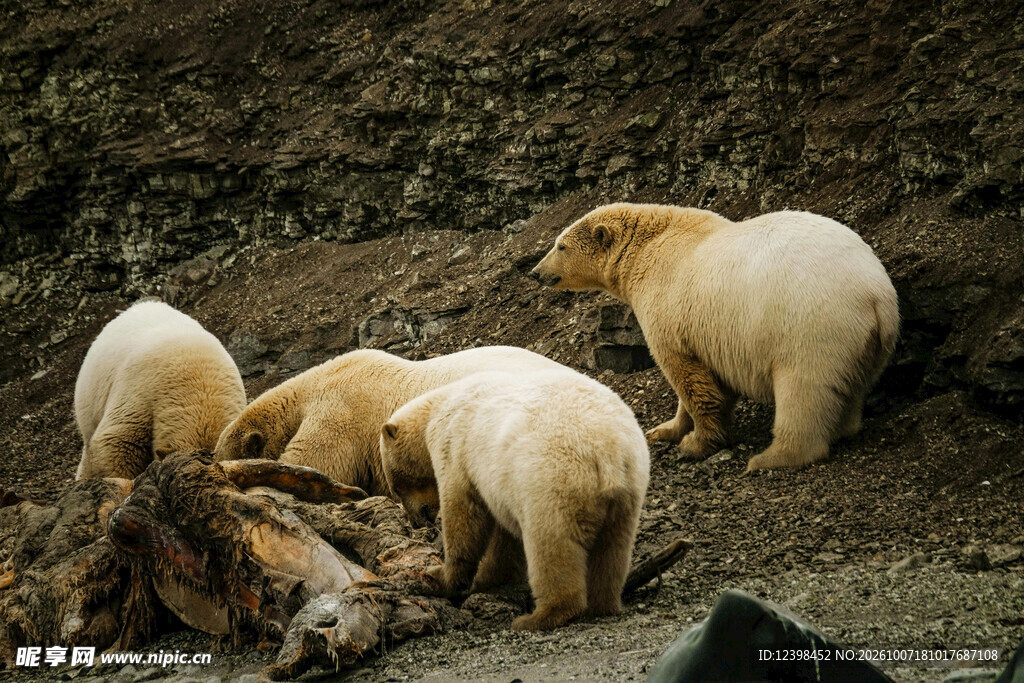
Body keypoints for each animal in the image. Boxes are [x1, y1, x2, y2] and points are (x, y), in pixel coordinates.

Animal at [379, 368, 650, 631]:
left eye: (397, 486)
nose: (415, 521)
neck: (436, 408)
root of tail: (607, 452)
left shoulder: (454, 449)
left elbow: (463, 515)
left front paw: (439, 577)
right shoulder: (499, 485)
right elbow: (504, 538)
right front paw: (488, 579)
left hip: (553, 481)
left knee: (551, 546)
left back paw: (540, 616)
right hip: (629, 489)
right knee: (614, 547)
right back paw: (603, 603)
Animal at [530, 203, 899, 471]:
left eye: (560, 246)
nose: (535, 273)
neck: (647, 249)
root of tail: (875, 294)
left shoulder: (671, 309)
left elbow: (689, 378)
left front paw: (696, 443)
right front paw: (665, 429)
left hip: (811, 326)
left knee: (803, 390)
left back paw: (771, 458)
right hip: (868, 341)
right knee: (853, 384)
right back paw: (846, 426)